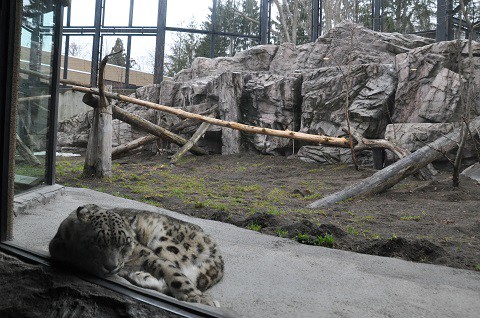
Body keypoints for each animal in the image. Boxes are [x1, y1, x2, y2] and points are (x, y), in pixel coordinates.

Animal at [49, 204, 226, 306]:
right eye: (98, 243)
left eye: (125, 243)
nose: (111, 266)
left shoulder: (147, 255)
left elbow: (173, 273)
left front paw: (198, 298)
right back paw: (141, 276)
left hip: (166, 245)